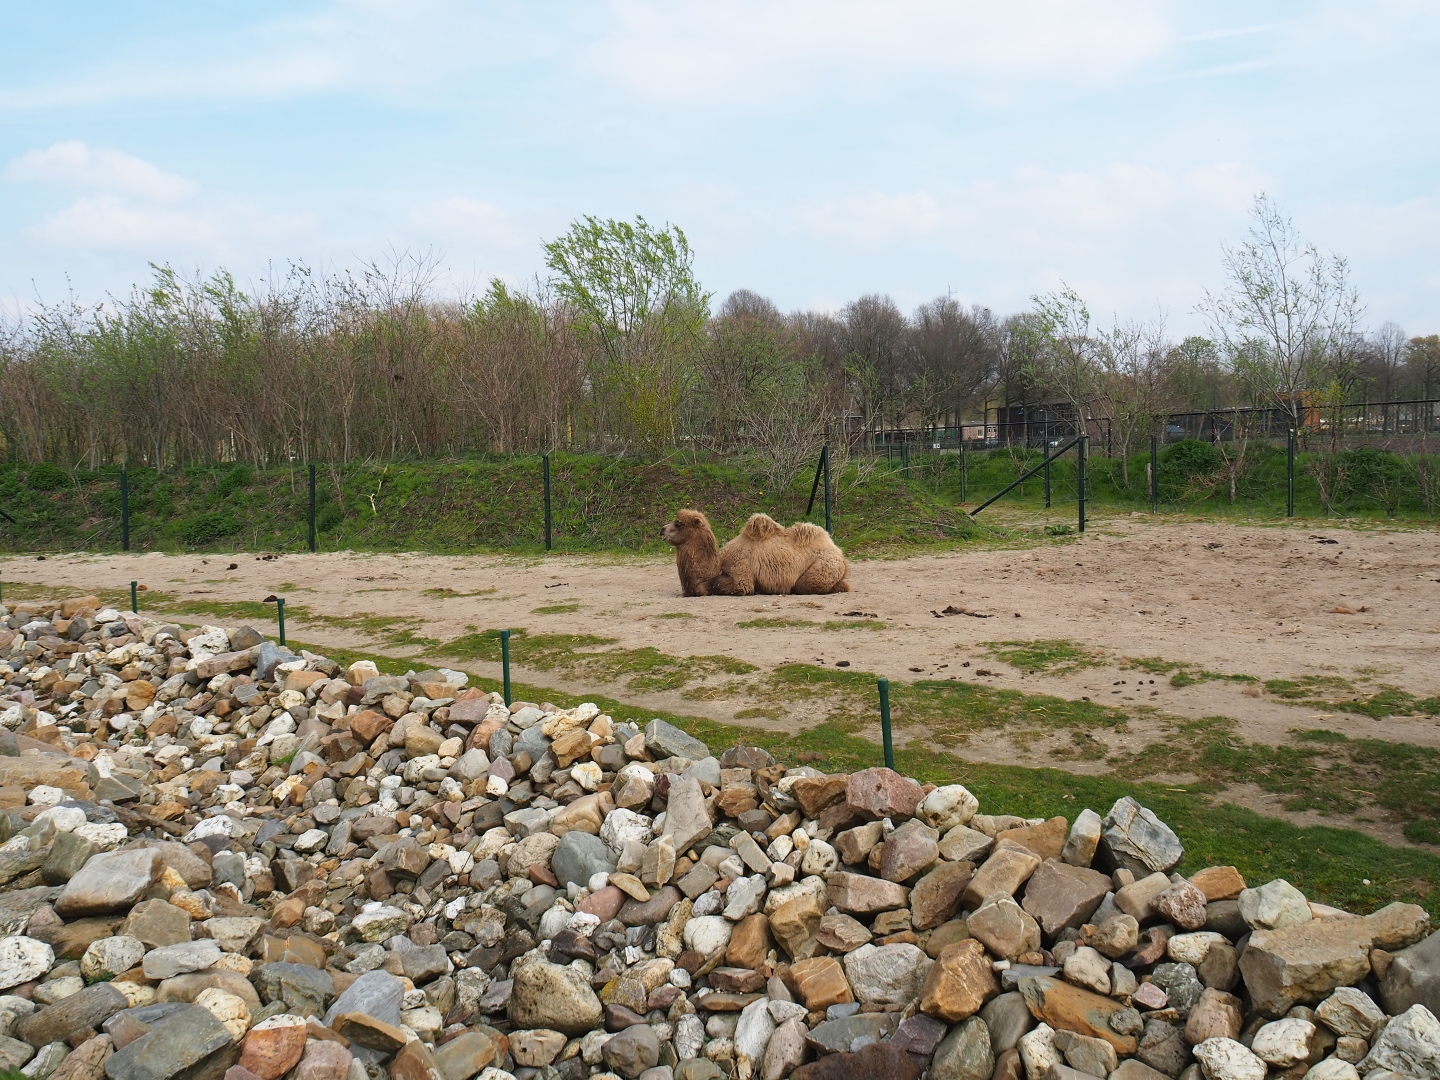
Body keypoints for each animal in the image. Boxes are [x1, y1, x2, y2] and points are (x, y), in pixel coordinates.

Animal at [661, 509, 851, 596]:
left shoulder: (741, 574)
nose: (661, 529)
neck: (716, 566)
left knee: (803, 586)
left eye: (679, 523)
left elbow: (718, 584)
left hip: (822, 567)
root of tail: (840, 554)